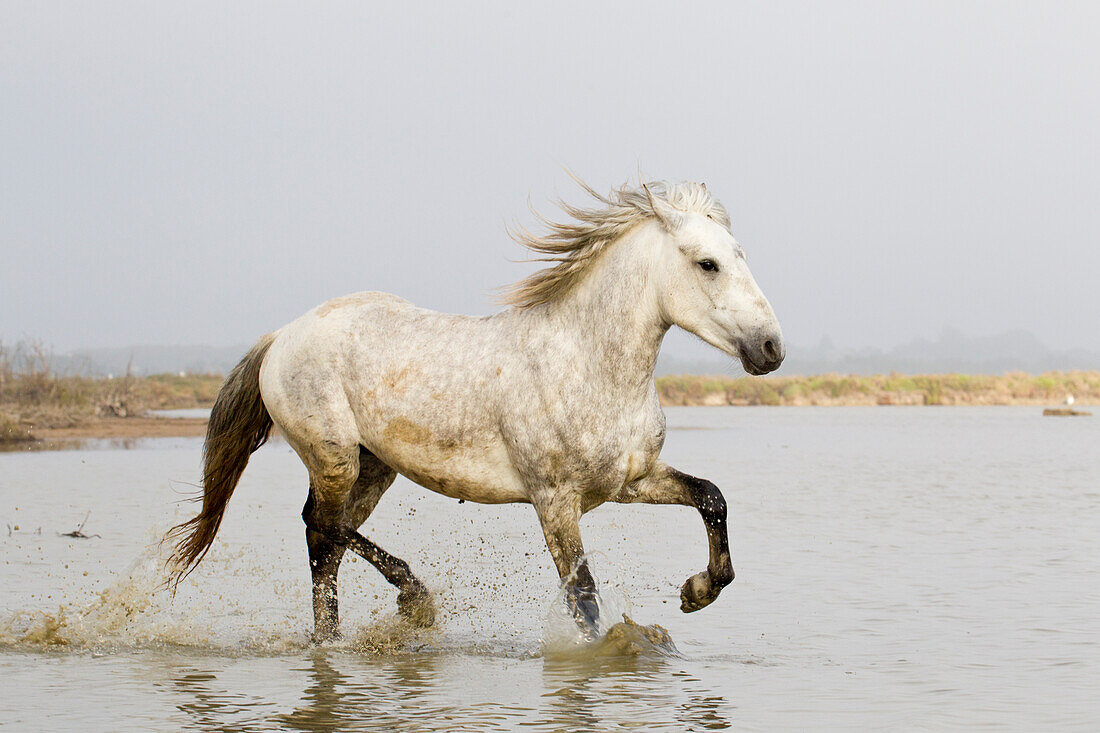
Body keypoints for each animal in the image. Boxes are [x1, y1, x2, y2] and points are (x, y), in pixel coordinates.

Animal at [169, 178, 783, 638]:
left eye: (740, 256)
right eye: (707, 264)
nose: (771, 349)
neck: (588, 364)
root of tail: (283, 335)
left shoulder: (629, 481)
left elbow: (712, 498)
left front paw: (696, 592)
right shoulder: (555, 501)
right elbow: (583, 597)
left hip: (374, 466)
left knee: (328, 539)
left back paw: (343, 637)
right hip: (333, 457)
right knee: (321, 527)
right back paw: (406, 604)